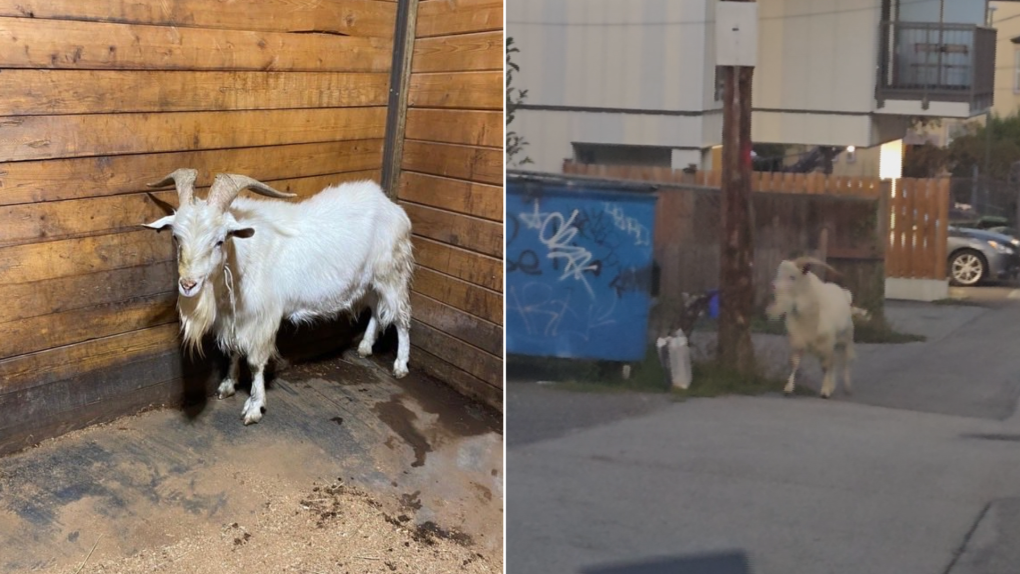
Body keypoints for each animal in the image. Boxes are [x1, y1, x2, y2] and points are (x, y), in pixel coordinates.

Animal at [143, 168, 414, 424]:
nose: (188, 284)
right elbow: (233, 349)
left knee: (401, 316)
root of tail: (389, 205)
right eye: (176, 237)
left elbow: (255, 362)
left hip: (392, 273)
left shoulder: (263, 317)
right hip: (369, 281)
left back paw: (400, 365)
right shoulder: (235, 315)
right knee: (377, 309)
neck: (243, 255)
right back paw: (365, 347)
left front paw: (254, 407)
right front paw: (227, 385)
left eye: (219, 240)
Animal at [767, 256, 856, 397]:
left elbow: (825, 366)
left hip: (846, 338)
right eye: (779, 274)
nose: (773, 286)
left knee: (844, 361)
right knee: (834, 361)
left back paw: (847, 387)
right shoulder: (797, 340)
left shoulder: (825, 343)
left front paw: (825, 391)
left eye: (792, 277)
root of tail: (845, 293)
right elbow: (794, 362)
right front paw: (788, 388)